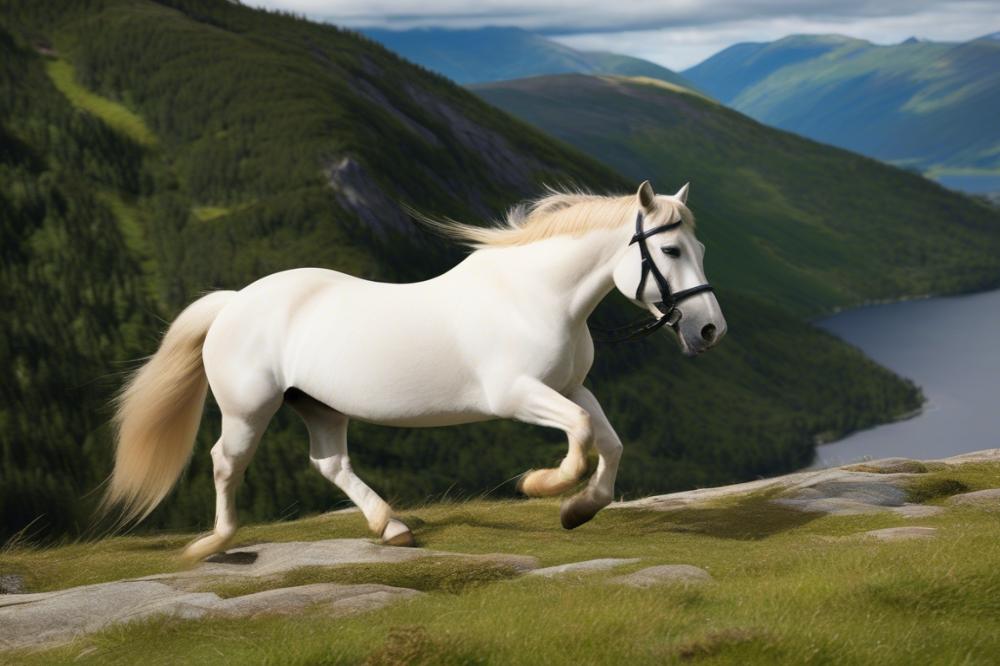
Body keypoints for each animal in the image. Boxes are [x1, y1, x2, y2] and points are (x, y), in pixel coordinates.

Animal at [104, 180, 727, 561]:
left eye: (701, 248)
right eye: (671, 251)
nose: (709, 331)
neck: (534, 297)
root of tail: (234, 301)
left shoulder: (571, 387)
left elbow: (609, 442)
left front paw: (579, 510)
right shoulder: (517, 394)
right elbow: (578, 437)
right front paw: (540, 486)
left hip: (319, 406)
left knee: (329, 463)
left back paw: (392, 526)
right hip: (247, 409)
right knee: (225, 463)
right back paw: (214, 543)